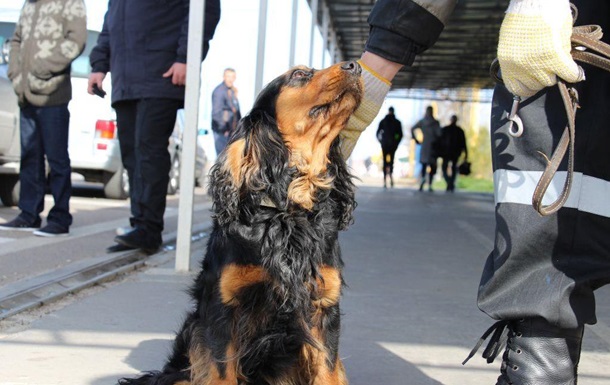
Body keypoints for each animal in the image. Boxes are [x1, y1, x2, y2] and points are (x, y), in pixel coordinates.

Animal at [120, 61, 360, 384]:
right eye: (299, 74)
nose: (356, 66)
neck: (288, 212)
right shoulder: (225, 309)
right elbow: (222, 372)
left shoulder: (323, 308)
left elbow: (329, 371)